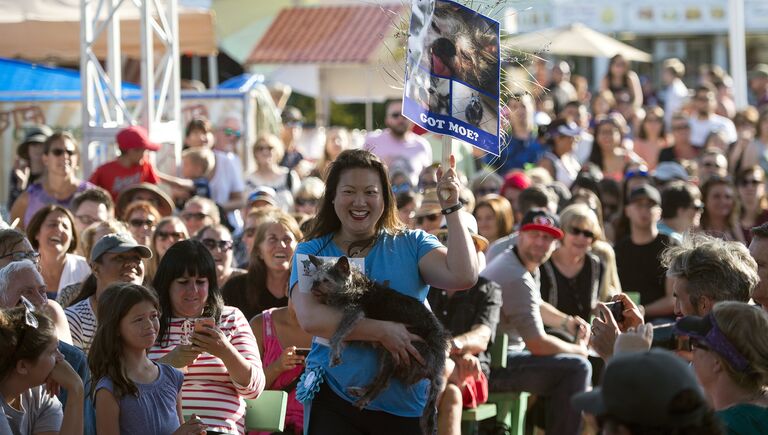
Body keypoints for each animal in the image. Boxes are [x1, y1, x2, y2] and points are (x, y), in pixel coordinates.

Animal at [308, 255, 450, 435]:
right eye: (314, 278)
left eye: (326, 280)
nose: (313, 285)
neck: (353, 285)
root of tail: (438, 363)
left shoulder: (354, 312)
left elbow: (338, 333)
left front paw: (334, 351)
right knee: (383, 380)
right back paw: (362, 391)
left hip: (397, 351)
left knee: (383, 382)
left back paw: (365, 397)